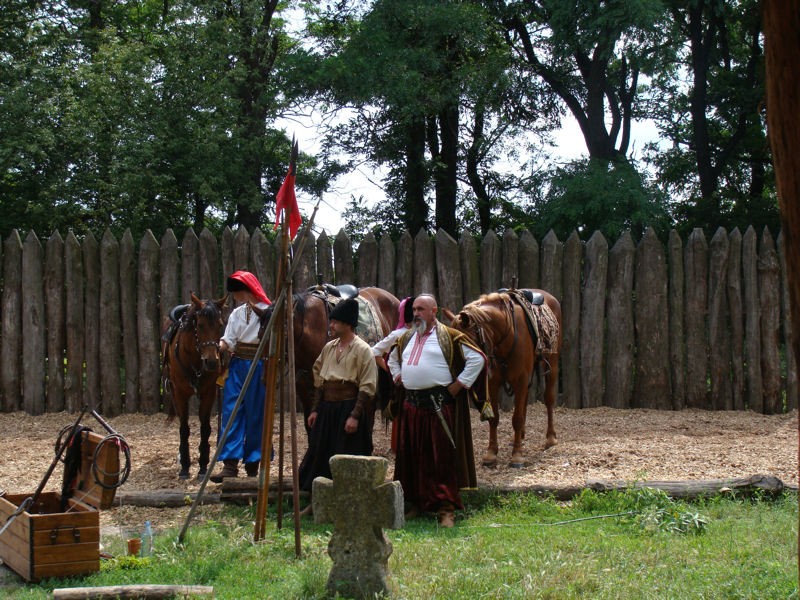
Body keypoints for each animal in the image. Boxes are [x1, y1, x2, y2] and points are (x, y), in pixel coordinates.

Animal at [161, 292, 227, 480]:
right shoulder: (180, 394)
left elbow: (205, 428)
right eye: (200, 325)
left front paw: (203, 466)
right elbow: (184, 428)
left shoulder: (208, 393)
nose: (212, 362)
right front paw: (185, 466)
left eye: (220, 325)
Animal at [446, 288, 560, 468]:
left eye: (464, 342)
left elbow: (517, 418)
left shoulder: (520, 380)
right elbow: (494, 418)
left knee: (548, 399)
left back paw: (550, 438)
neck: (506, 334)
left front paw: (517, 455)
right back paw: (519, 437)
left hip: (552, 363)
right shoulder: (494, 382)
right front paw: (491, 453)